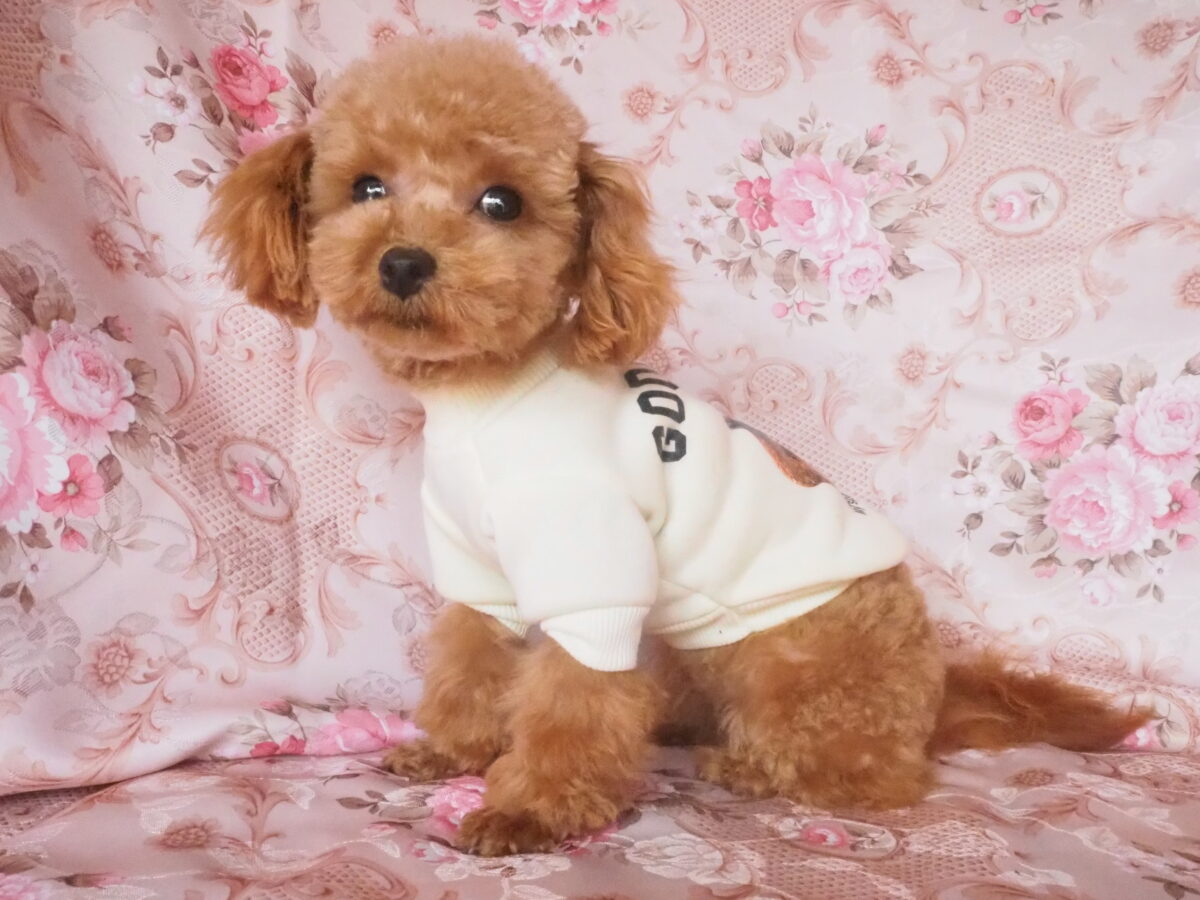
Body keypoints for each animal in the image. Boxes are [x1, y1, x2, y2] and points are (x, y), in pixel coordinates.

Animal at [204, 36, 1149, 857]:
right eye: (367, 187)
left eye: (501, 202)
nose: (403, 262)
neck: (490, 395)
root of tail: (937, 694)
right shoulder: (481, 574)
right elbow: (470, 660)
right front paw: (452, 750)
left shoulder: (596, 586)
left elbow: (572, 703)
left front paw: (531, 810)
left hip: (799, 674)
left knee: (872, 777)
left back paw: (756, 767)